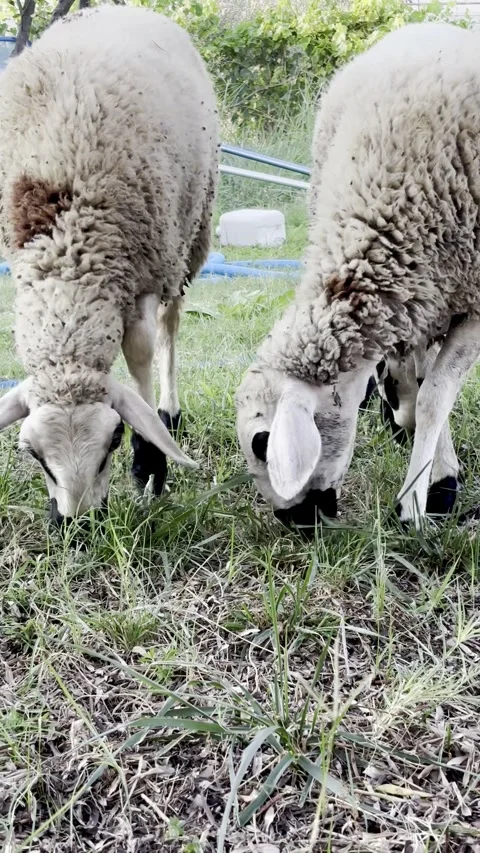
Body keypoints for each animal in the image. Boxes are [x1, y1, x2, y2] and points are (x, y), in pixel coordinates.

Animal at [0, 5, 219, 524]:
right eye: (31, 452)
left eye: (115, 439)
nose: (78, 526)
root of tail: (123, 8)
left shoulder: (143, 271)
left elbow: (140, 353)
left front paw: (151, 463)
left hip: (186, 238)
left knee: (170, 325)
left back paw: (169, 411)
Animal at [236, 21, 479, 529]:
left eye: (262, 443)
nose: (297, 524)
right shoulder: (415, 298)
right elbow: (426, 389)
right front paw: (437, 475)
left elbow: (436, 395)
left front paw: (417, 501)